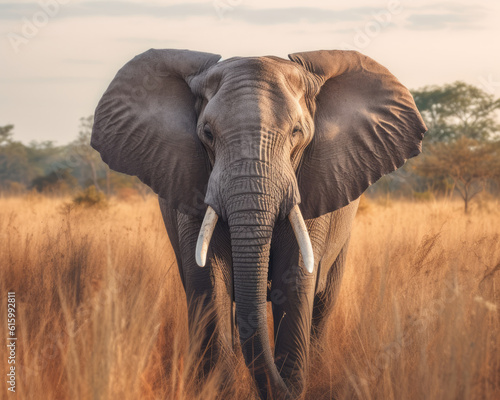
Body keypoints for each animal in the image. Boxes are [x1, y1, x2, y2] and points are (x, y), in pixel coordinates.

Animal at [91, 48, 426, 398]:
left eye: (297, 133)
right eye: (207, 134)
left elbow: (294, 279)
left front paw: (291, 383)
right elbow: (209, 281)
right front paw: (218, 389)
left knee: (323, 302)